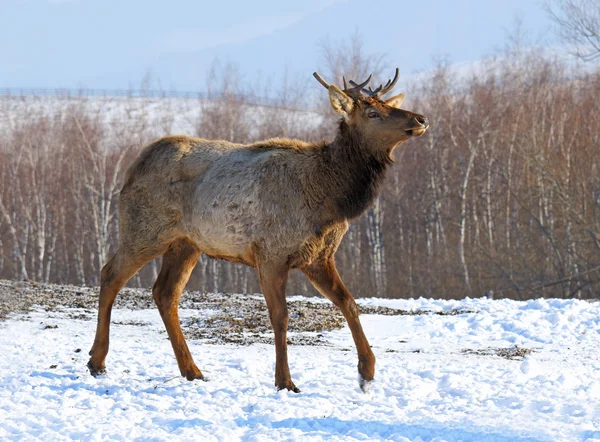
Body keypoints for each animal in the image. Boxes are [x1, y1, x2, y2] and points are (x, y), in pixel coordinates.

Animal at [88, 70, 426, 394]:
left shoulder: (319, 257)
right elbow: (281, 316)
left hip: (186, 244)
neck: (330, 200)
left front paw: (366, 372)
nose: (420, 119)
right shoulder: (271, 254)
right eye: (372, 112)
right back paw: (97, 360)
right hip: (145, 230)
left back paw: (192, 370)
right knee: (110, 274)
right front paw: (284, 381)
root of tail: (133, 167)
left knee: (164, 293)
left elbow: (349, 303)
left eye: (388, 105)